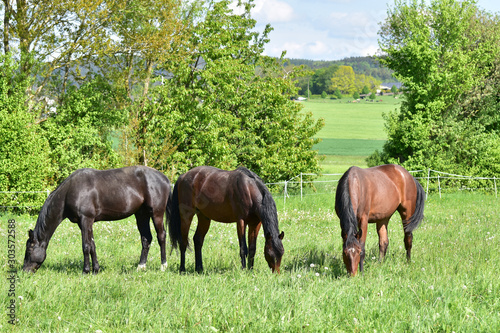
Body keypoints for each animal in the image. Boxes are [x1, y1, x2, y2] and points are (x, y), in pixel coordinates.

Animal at [23, 165, 172, 272]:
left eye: (29, 249)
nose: (24, 270)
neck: (70, 192)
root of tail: (165, 178)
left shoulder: (86, 220)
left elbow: (86, 246)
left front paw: (86, 270)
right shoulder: (85, 223)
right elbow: (92, 245)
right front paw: (96, 269)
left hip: (156, 213)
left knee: (161, 236)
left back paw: (163, 266)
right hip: (141, 215)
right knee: (146, 239)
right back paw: (141, 267)